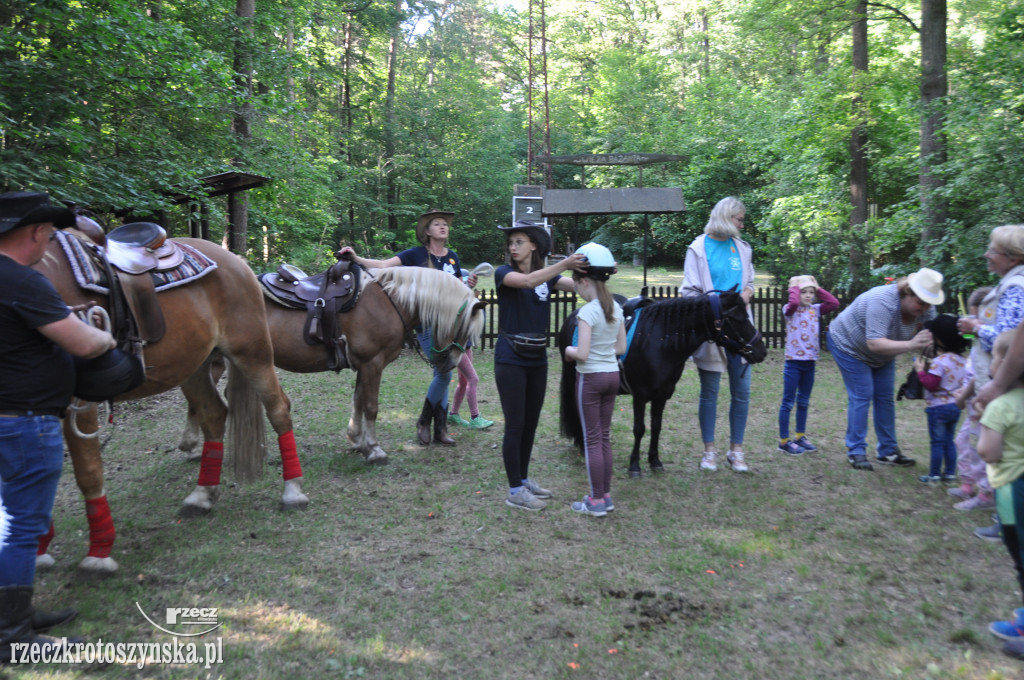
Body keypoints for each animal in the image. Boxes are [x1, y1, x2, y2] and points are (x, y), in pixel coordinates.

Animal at [35, 231, 307, 577]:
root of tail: (236, 260)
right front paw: (38, 552)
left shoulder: (79, 402)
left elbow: (88, 472)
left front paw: (98, 554)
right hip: (193, 366)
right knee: (214, 414)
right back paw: (202, 495)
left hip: (252, 353)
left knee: (279, 409)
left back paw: (293, 491)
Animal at [178, 266, 485, 466]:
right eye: (465, 328)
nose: (451, 362)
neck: (388, 301)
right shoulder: (373, 364)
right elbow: (370, 405)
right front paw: (374, 449)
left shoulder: (363, 365)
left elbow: (358, 401)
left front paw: (357, 441)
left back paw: (194, 446)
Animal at [557, 288, 765, 475]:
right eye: (739, 318)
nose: (761, 351)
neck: (660, 341)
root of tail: (573, 315)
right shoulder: (640, 395)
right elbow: (639, 429)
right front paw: (635, 465)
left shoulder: (663, 395)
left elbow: (656, 427)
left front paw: (654, 460)